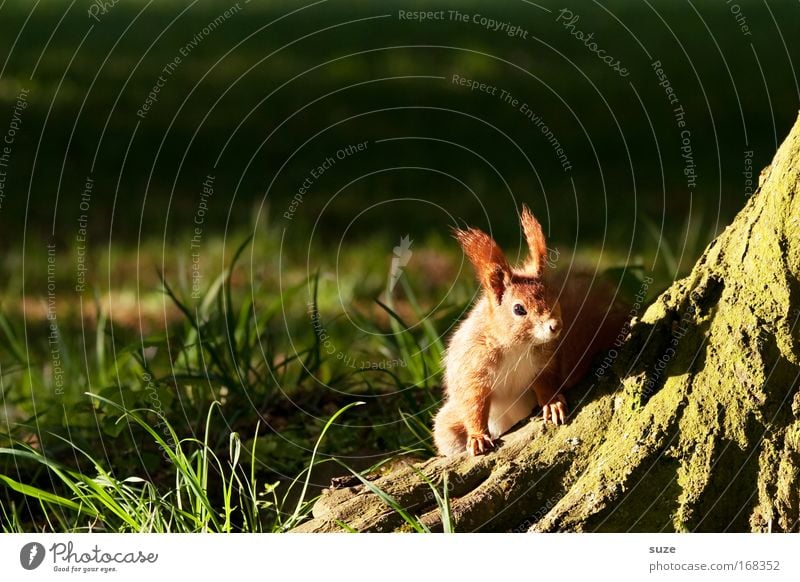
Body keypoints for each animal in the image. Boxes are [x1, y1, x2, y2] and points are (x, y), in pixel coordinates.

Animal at [434, 208, 628, 458]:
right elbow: (473, 402)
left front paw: (552, 403)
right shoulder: (472, 365)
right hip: (447, 425)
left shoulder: (545, 361)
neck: (517, 346)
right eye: (519, 309)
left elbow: (546, 382)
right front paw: (477, 436)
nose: (555, 326)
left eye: (554, 296)